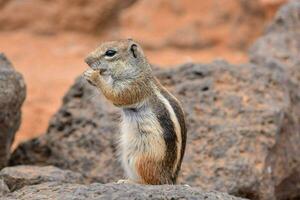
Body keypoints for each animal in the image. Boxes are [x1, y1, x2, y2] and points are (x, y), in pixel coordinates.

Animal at [84, 39, 185, 184]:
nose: (86, 59)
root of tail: (168, 180)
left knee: (150, 182)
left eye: (110, 53)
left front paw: (93, 76)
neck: (138, 71)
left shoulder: (133, 87)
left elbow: (115, 95)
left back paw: (130, 181)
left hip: (140, 159)